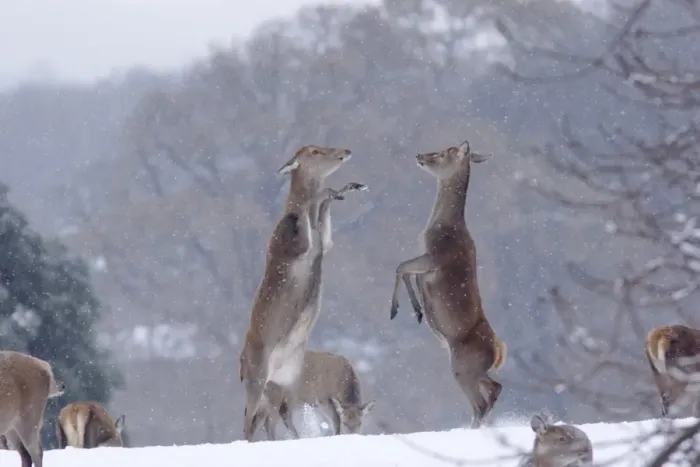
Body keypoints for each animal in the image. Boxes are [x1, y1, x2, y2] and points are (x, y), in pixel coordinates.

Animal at [239, 144, 367, 442]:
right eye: (314, 151)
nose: (346, 150)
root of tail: (239, 365)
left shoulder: (325, 243)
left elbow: (325, 228)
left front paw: (348, 188)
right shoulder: (293, 245)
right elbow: (306, 215)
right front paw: (329, 192)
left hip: (287, 380)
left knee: (275, 416)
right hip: (257, 375)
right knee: (248, 421)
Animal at [388, 140, 507, 429]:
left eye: (444, 153)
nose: (419, 155)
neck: (438, 227)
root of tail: (497, 351)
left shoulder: (436, 257)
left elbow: (401, 266)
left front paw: (396, 310)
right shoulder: (426, 265)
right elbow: (408, 273)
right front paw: (418, 310)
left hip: (463, 366)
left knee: (480, 402)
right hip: (474, 369)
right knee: (495, 389)